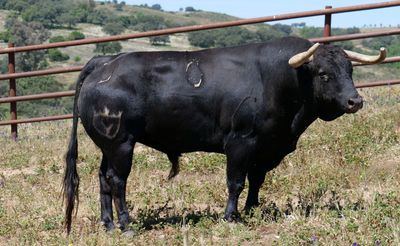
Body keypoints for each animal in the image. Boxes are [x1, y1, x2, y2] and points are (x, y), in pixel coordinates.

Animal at [63, 36, 376, 233]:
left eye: (350, 70)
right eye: (323, 74)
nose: (355, 101)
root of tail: (105, 63)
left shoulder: (265, 147)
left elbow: (256, 181)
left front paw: (251, 210)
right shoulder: (240, 142)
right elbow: (235, 182)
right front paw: (231, 217)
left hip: (109, 145)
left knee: (103, 178)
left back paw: (108, 224)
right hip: (121, 144)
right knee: (117, 180)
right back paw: (126, 225)